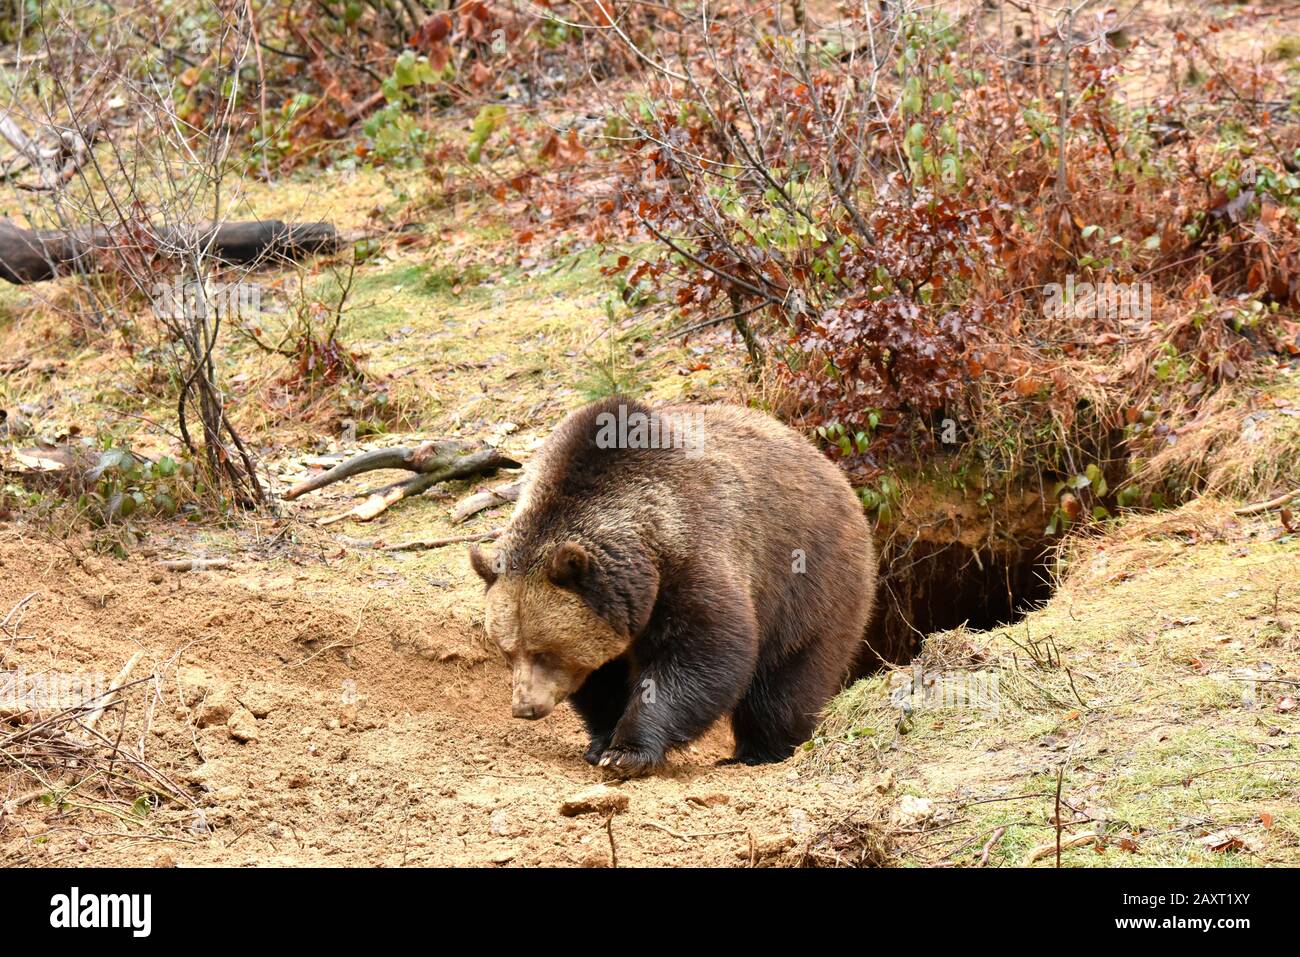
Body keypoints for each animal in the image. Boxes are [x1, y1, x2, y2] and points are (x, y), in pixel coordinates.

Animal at [469, 397, 876, 777]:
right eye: (507, 650)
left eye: (545, 651)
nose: (525, 707)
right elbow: (602, 678)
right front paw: (601, 744)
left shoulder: (691, 559)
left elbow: (705, 652)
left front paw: (628, 752)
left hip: (810, 585)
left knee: (785, 682)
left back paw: (761, 751)